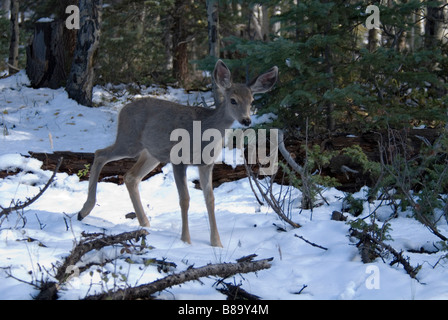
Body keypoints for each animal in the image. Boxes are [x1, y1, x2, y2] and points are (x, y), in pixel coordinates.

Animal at [79, 58, 278, 246]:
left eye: (252, 101)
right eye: (233, 100)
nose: (246, 120)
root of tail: (123, 109)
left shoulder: (206, 164)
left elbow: (210, 199)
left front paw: (217, 243)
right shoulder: (178, 160)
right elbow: (185, 199)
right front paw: (186, 240)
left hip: (152, 153)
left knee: (130, 176)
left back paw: (145, 223)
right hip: (129, 140)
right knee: (100, 153)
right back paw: (84, 210)